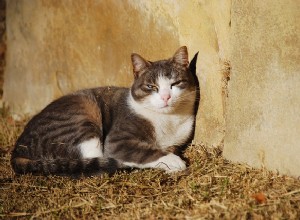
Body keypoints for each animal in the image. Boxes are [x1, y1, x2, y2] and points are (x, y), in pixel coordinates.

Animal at [11, 46, 199, 177]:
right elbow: (142, 151)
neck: (169, 119)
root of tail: (17, 149)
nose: (166, 97)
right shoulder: (117, 140)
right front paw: (173, 161)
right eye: (151, 87)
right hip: (81, 119)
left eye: (175, 83)